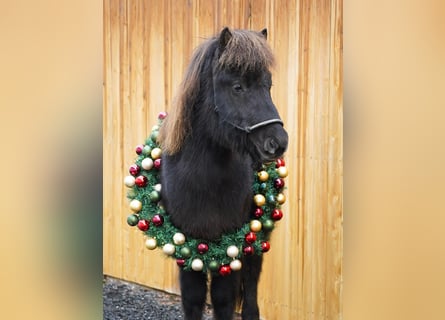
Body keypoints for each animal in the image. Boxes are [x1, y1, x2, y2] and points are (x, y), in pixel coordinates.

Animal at [159, 27, 288, 320]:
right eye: (237, 87)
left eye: (268, 85)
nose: (278, 142)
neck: (203, 183)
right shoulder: (186, 247)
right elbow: (193, 300)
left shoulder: (231, 250)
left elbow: (223, 301)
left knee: (250, 290)